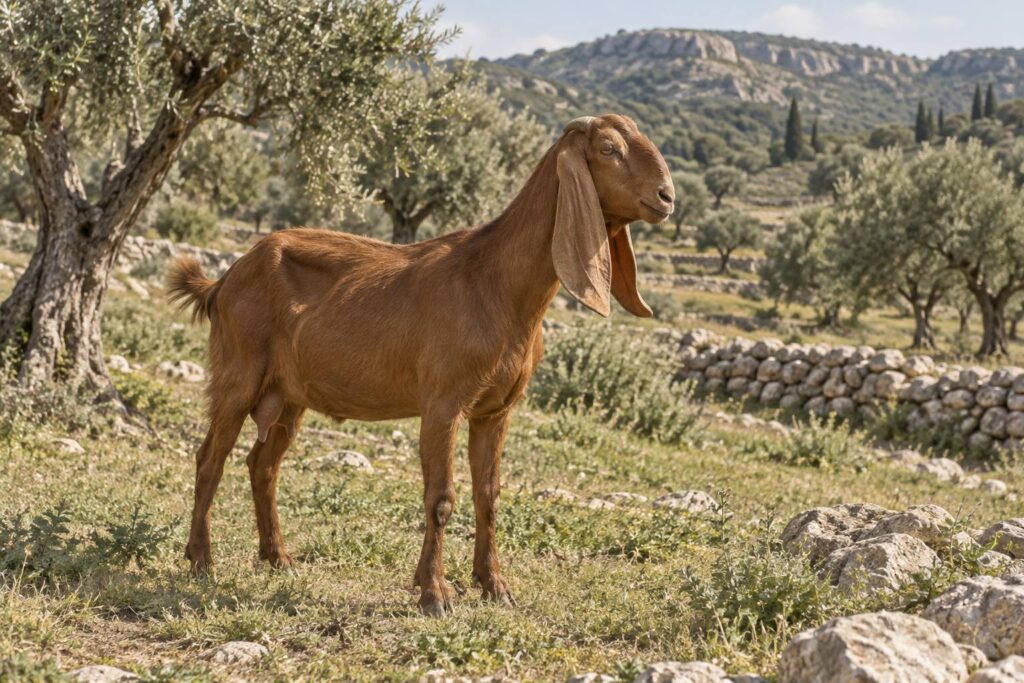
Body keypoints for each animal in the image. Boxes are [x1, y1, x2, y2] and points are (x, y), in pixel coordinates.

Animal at [167, 114, 674, 616]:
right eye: (608, 149)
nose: (666, 196)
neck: (495, 283)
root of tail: (225, 280)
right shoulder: (443, 404)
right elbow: (441, 498)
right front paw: (434, 593)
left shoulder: (496, 410)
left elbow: (489, 495)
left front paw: (495, 585)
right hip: (238, 372)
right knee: (210, 457)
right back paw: (202, 561)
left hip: (289, 395)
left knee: (263, 464)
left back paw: (278, 558)